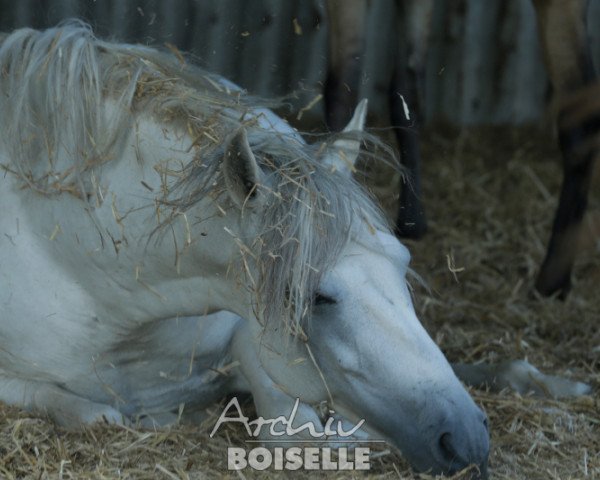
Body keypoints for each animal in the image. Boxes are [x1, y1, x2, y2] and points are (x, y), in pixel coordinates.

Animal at [0, 23, 492, 476]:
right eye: (315, 297)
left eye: (404, 264)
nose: (465, 438)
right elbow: (87, 411)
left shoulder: (251, 334)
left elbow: (292, 430)